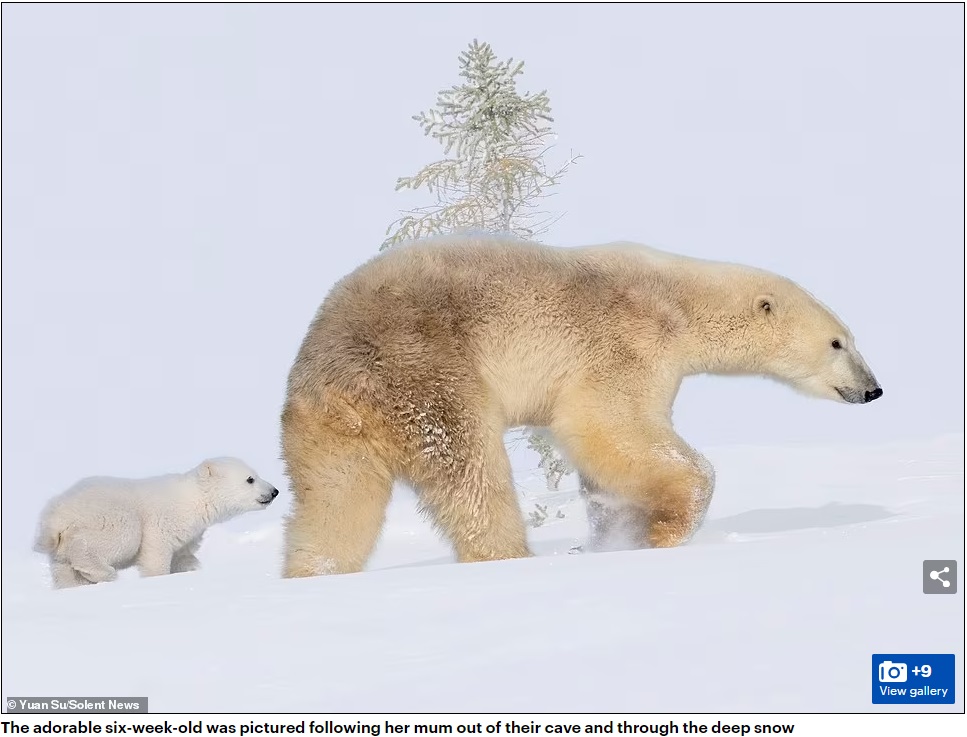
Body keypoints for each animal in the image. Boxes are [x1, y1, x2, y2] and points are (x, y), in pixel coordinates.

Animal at [34, 458, 280, 588]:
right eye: (250, 479)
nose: (274, 491)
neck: (192, 498)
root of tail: (56, 514)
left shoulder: (191, 533)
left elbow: (183, 555)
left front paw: (193, 570)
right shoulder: (164, 519)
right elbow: (156, 552)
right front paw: (158, 578)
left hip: (59, 546)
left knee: (62, 569)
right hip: (109, 517)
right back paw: (102, 573)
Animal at [280, 236, 884, 576]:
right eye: (839, 343)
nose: (873, 388)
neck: (678, 301)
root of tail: (327, 369)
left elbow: (606, 473)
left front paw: (619, 537)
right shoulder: (625, 340)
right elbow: (612, 426)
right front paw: (665, 533)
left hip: (329, 428)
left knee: (335, 503)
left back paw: (313, 573)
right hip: (424, 370)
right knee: (472, 472)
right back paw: (511, 558)